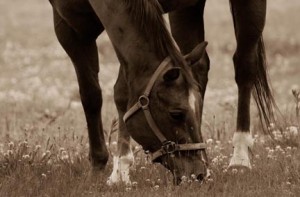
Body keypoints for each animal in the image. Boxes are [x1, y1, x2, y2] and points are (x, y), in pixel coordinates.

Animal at [49, 0, 276, 185]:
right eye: (176, 114)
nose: (198, 174)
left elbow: (122, 93)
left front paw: (120, 170)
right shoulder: (69, 30)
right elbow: (91, 95)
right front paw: (99, 163)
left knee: (245, 67)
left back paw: (240, 158)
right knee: (199, 67)